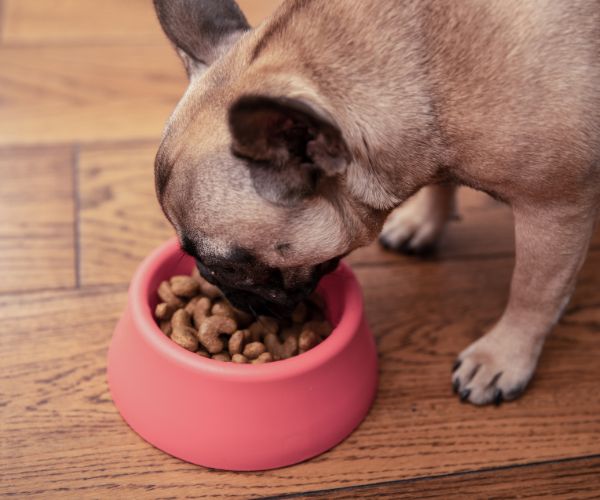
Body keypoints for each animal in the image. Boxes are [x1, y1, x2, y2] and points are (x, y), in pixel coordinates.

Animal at [152, 0, 600, 404]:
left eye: (227, 265)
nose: (205, 276)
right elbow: (440, 185)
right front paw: (423, 221)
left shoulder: (555, 208)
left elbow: (532, 291)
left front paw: (501, 357)